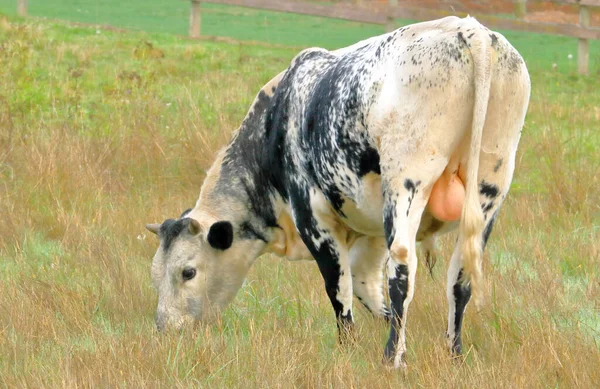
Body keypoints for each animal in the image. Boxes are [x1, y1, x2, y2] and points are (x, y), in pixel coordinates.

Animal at [145, 15, 528, 366]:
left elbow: (338, 289)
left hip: (407, 183)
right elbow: (364, 286)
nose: (165, 329)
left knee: (402, 269)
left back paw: (392, 358)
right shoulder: (369, 233)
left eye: (188, 271)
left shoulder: (315, 221)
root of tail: (467, 29)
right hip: (490, 185)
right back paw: (453, 354)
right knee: (459, 277)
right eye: (155, 273)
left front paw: (348, 350)